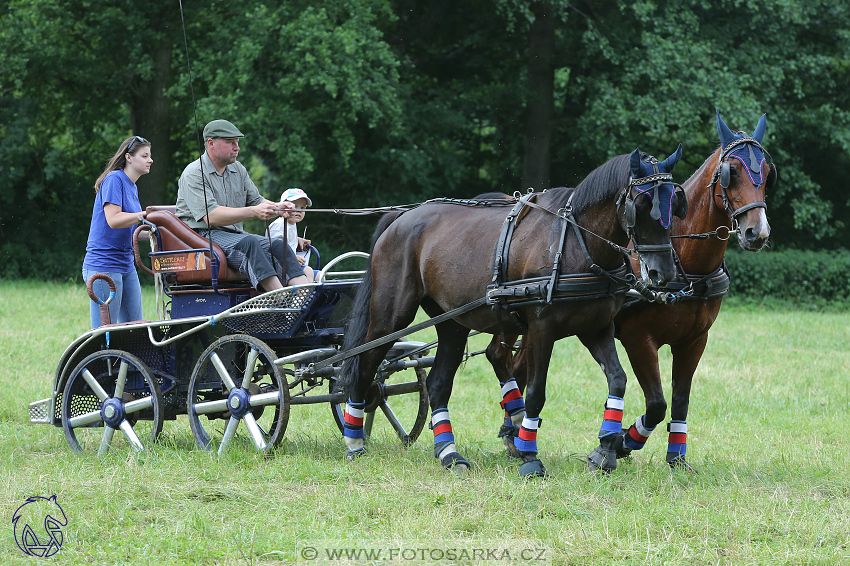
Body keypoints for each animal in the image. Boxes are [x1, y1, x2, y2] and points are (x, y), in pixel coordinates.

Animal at [336, 148, 684, 480]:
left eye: (675, 204)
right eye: (642, 205)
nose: (663, 273)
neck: (576, 243)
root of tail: (401, 217)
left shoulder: (596, 328)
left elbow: (618, 381)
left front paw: (606, 450)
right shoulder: (542, 329)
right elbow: (535, 394)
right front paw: (530, 458)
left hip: (452, 322)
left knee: (437, 383)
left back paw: (449, 454)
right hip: (391, 317)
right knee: (365, 366)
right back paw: (355, 441)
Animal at [486, 111, 772, 474]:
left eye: (767, 174)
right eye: (730, 172)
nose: (756, 232)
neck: (683, 259)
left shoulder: (695, 340)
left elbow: (680, 401)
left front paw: (676, 458)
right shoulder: (639, 339)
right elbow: (657, 403)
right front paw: (620, 443)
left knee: (517, 365)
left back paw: (514, 432)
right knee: (500, 355)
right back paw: (516, 431)